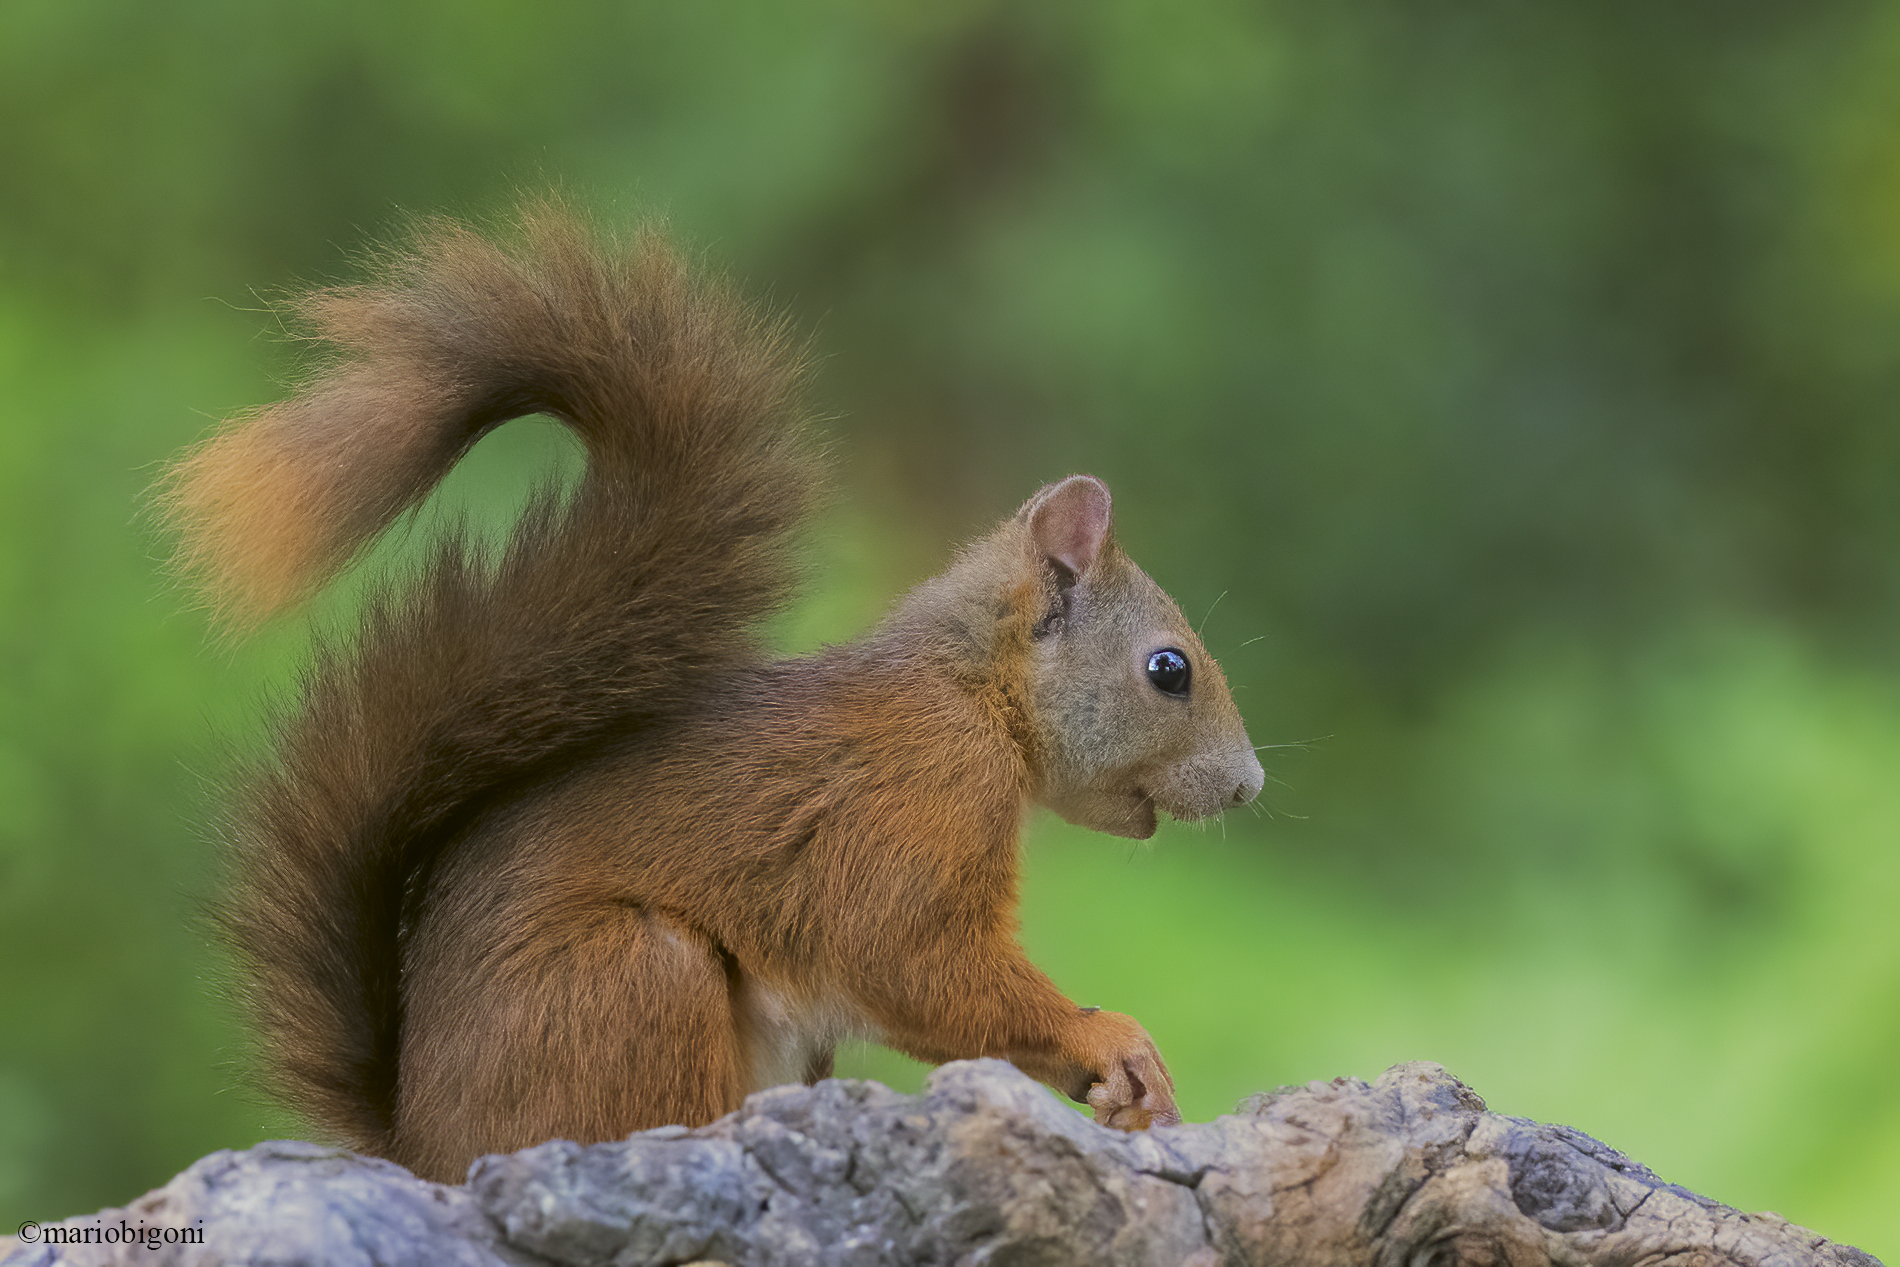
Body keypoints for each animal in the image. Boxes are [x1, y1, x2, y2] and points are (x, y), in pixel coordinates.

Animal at [159, 202, 1266, 1184]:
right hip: (634, 980)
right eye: (1169, 669)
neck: (972, 694)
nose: (1250, 785)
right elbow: (914, 961)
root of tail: (423, 1148)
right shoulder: (915, 801)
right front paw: (1106, 1038)